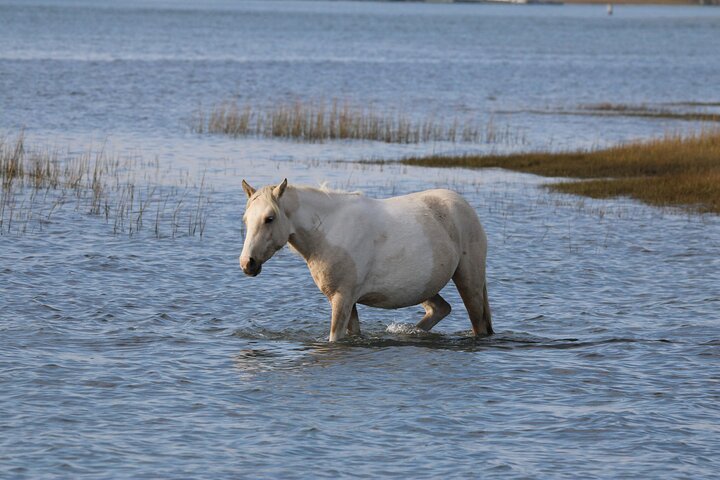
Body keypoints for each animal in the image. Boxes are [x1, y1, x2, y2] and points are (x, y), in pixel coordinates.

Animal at [239, 179, 492, 342]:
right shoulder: (347, 301)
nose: (247, 263)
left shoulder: (342, 298)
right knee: (440, 309)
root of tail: (464, 207)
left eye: (269, 218)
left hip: (469, 281)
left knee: (478, 324)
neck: (329, 231)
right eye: (246, 219)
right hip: (424, 287)